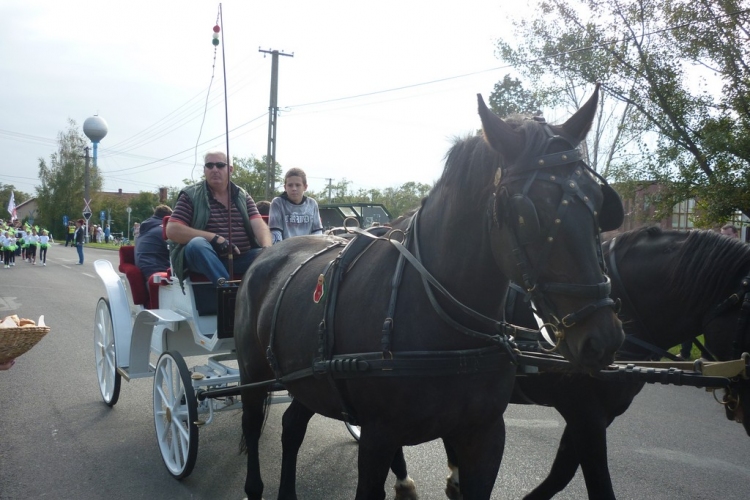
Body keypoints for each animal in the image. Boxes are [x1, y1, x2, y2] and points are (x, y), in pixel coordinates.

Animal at [235, 88, 624, 498]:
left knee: (292, 425)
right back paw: (254, 486)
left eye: (601, 203)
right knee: (252, 423)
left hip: (309, 378)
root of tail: (269, 253)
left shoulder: (485, 435)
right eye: (527, 214)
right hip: (253, 373)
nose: (603, 337)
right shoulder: (377, 437)